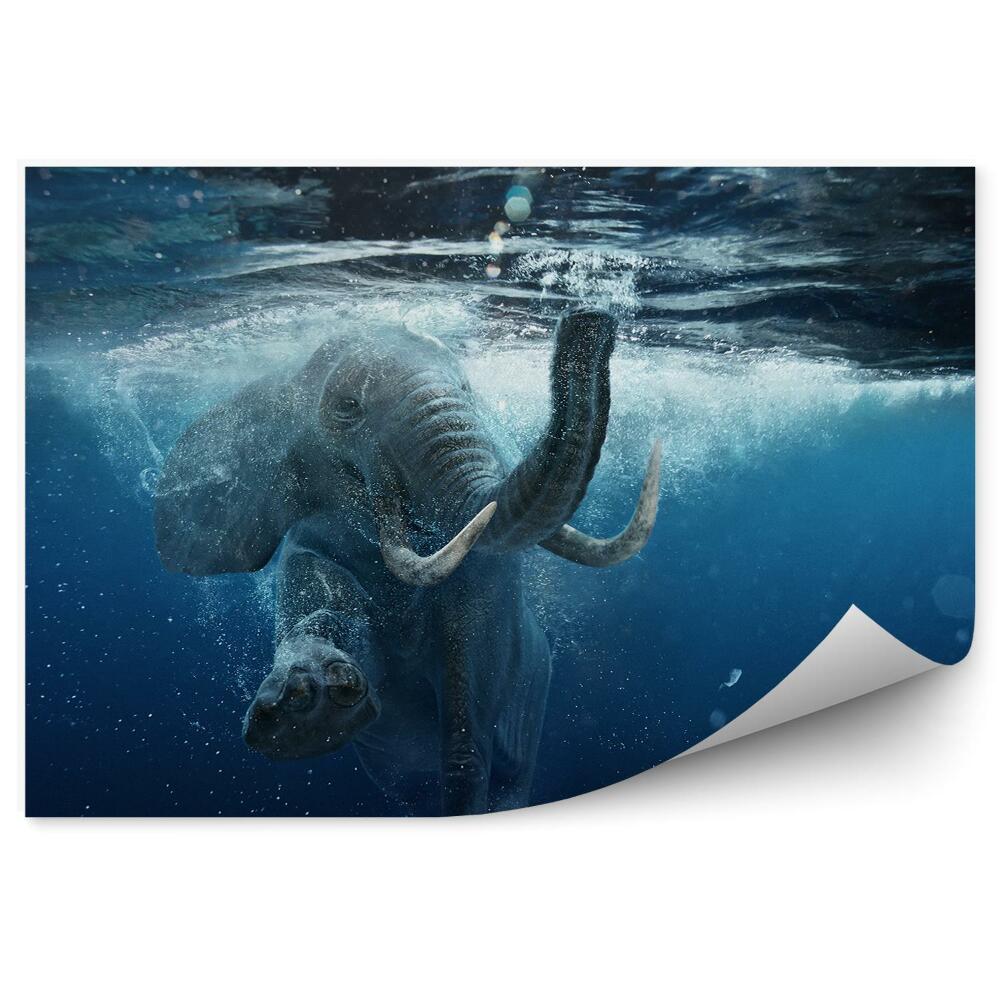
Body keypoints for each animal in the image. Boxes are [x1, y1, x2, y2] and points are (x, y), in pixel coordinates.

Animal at [153, 308, 661, 815]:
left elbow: (466, 728)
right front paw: (302, 710)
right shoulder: (310, 545)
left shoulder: (487, 593)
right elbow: (320, 607)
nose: (589, 322)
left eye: (466, 389)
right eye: (347, 407)